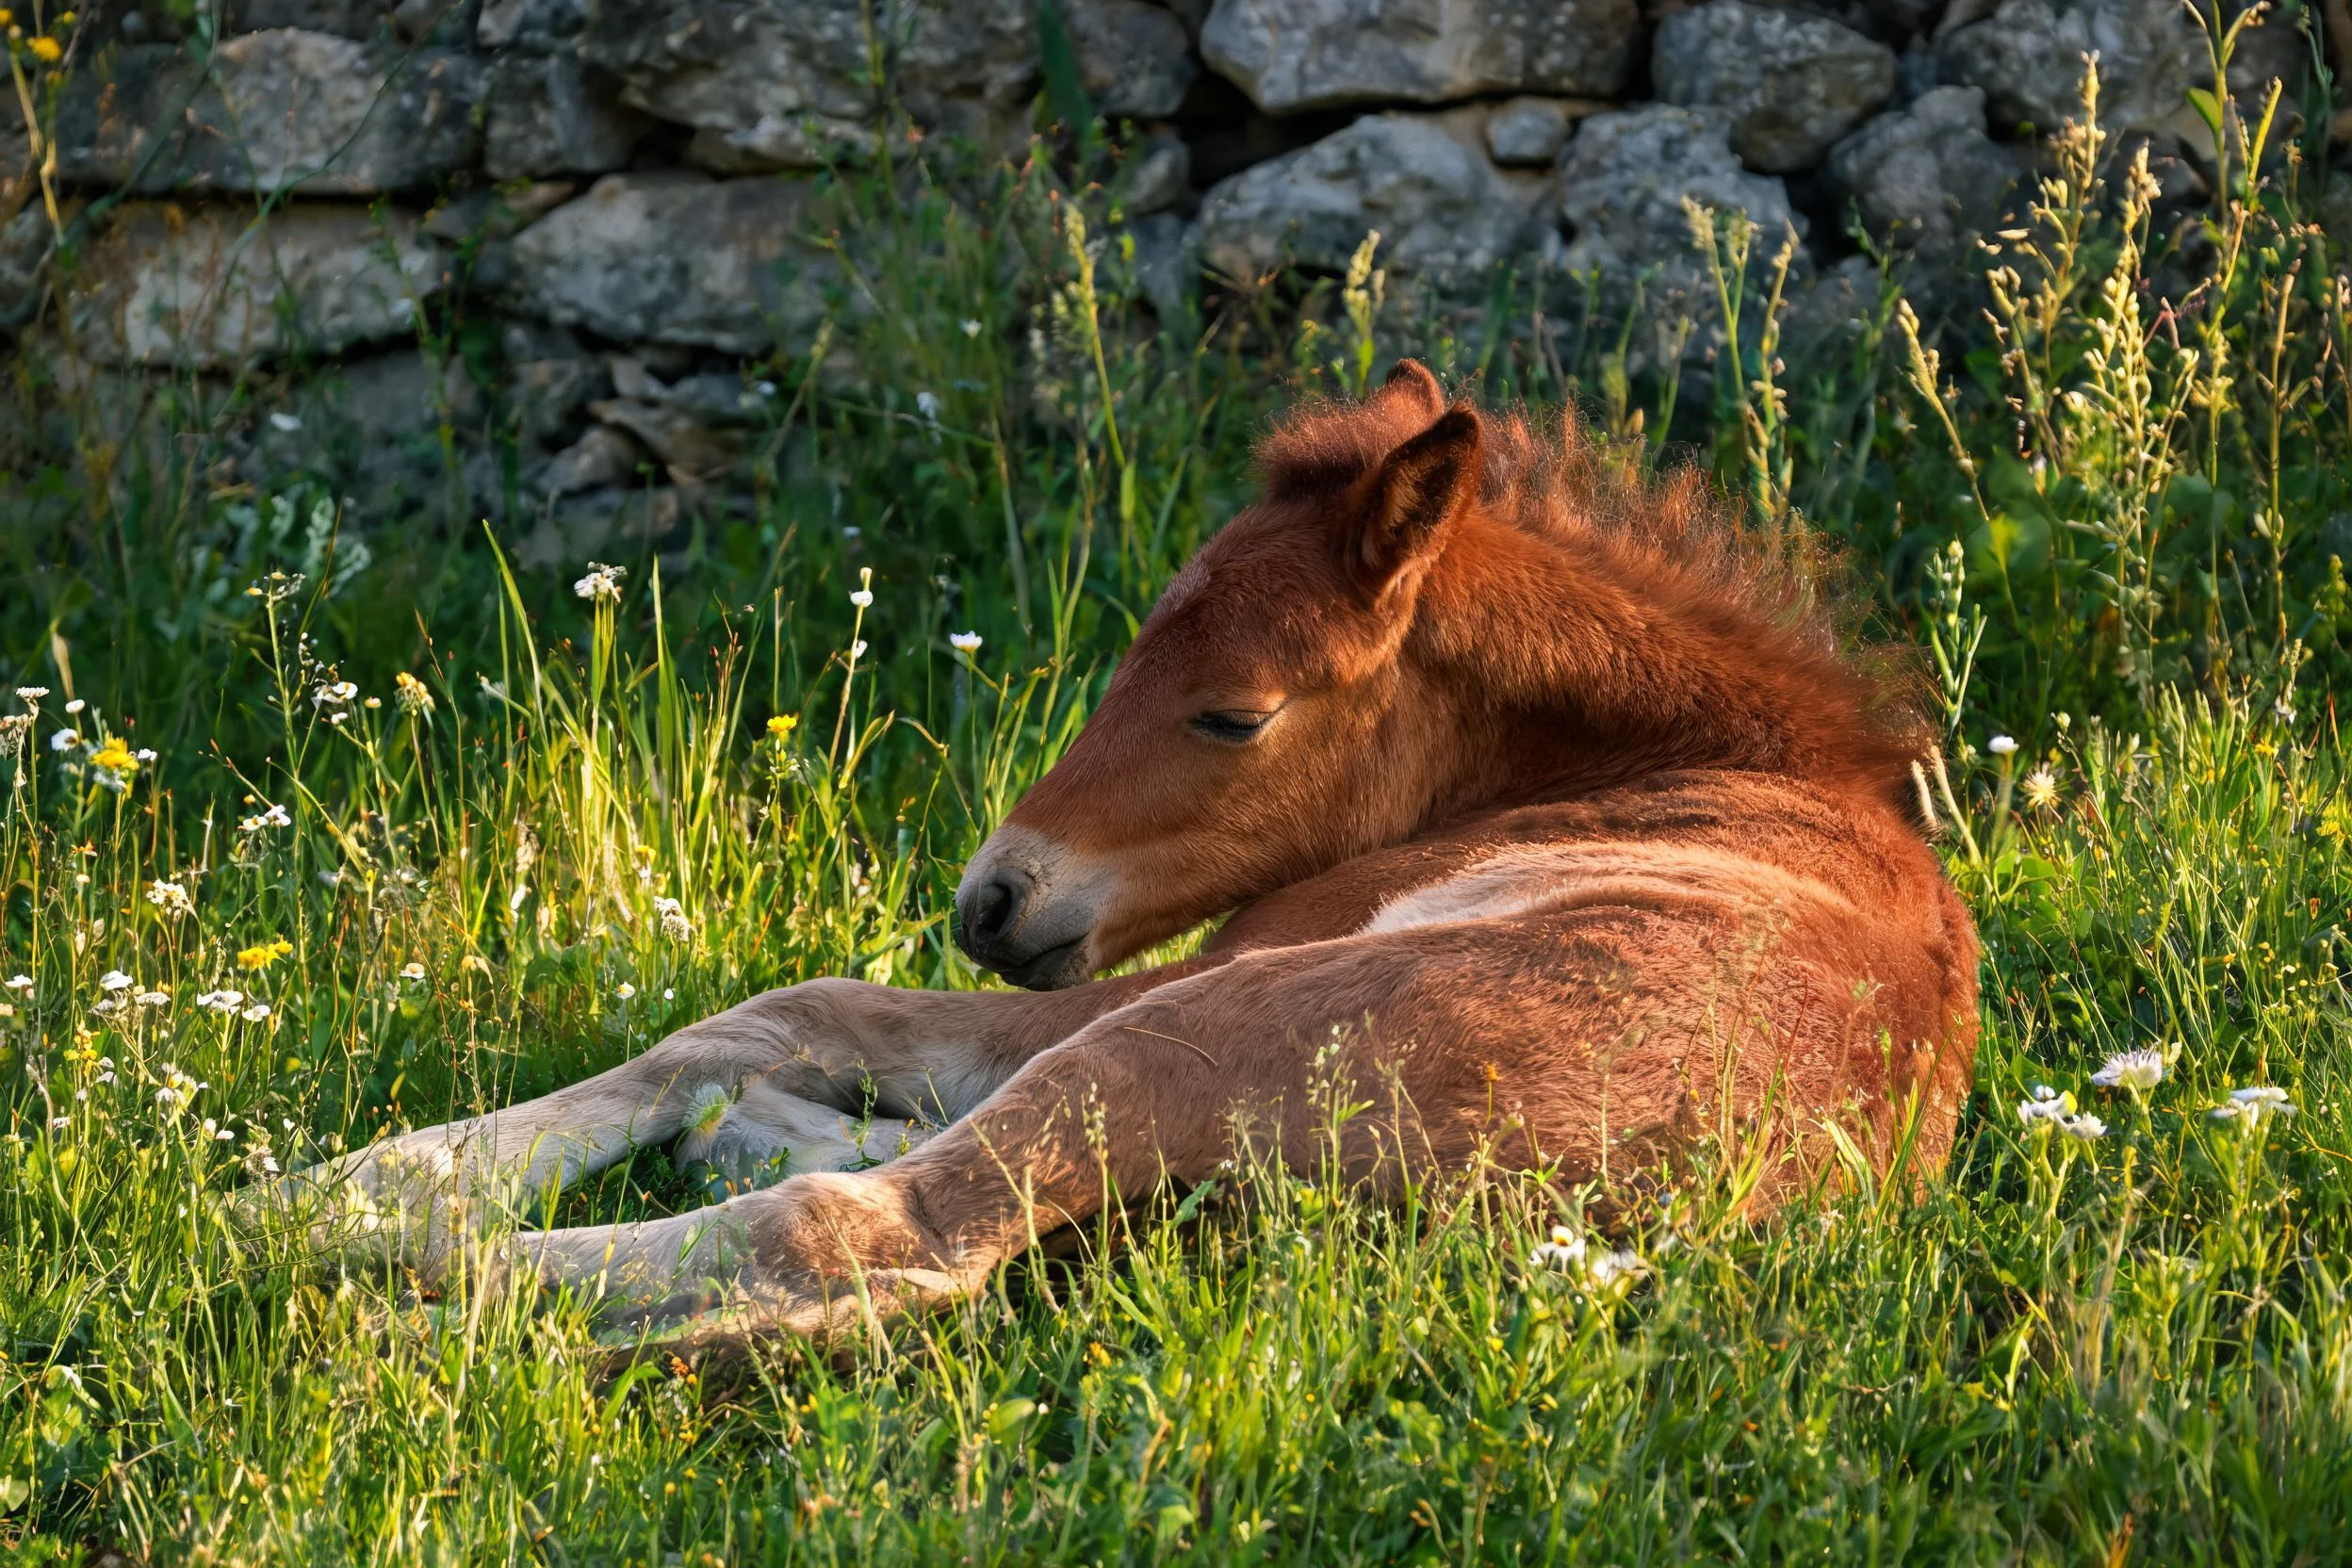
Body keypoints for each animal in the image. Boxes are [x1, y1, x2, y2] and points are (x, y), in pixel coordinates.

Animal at [287, 361, 1981, 1343]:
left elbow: (784, 1009)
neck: (1700, 767)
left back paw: (402, 1302)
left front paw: (349, 1187)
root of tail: (1595, 1236)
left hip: (1200, 1022)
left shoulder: (1197, 958)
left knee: (867, 1239)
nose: (994, 899)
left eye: (1233, 713)